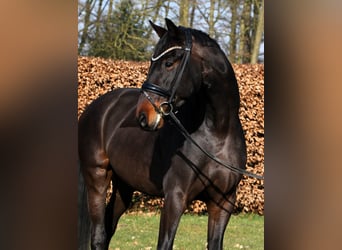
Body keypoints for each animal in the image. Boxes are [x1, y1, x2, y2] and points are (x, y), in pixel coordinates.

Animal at [78, 18, 246, 249]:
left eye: (169, 62)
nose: (143, 116)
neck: (218, 135)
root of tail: (96, 108)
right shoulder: (175, 198)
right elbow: (165, 244)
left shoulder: (222, 203)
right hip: (97, 178)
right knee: (98, 235)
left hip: (124, 186)